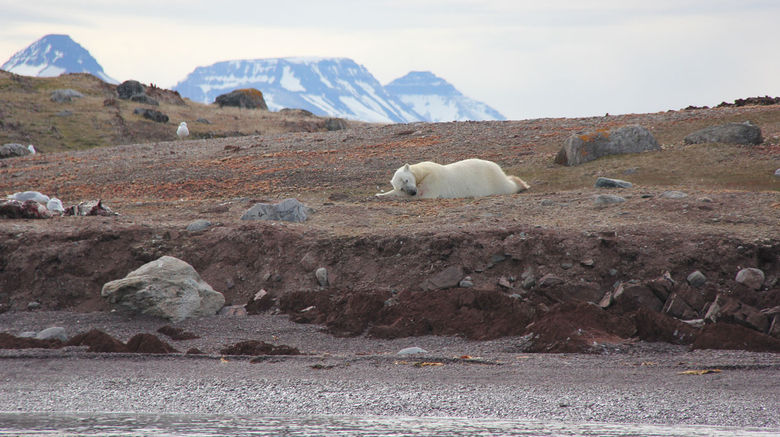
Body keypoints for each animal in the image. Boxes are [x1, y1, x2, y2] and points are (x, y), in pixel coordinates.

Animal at [375, 158, 529, 199]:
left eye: (406, 180)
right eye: (401, 187)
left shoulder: (433, 181)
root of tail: (496, 166)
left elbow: (425, 194)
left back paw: (521, 184)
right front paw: (379, 194)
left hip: (492, 180)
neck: (423, 172)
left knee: (508, 186)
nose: (412, 191)